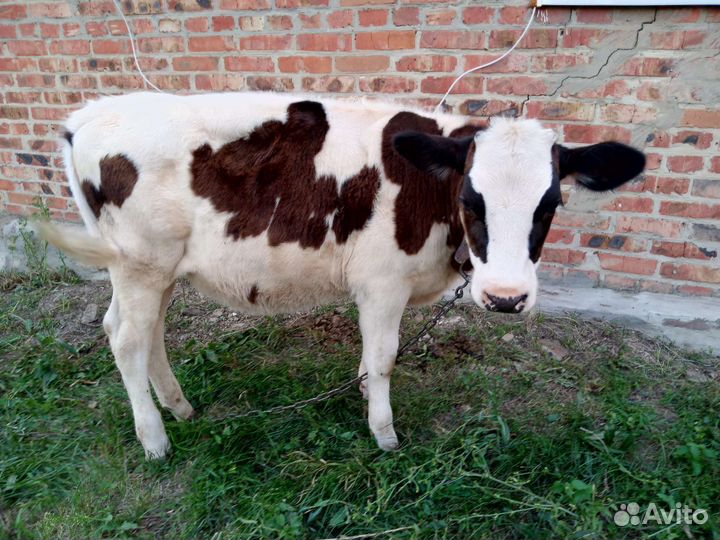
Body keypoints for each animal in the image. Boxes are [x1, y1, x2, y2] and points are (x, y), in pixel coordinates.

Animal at [39, 91, 646, 459]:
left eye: (550, 205)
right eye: (472, 200)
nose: (505, 297)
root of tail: (88, 116)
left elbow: (369, 360)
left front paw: (362, 397)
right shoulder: (383, 282)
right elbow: (384, 358)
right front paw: (384, 433)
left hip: (155, 269)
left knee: (145, 334)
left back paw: (181, 408)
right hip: (140, 262)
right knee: (126, 339)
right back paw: (155, 439)